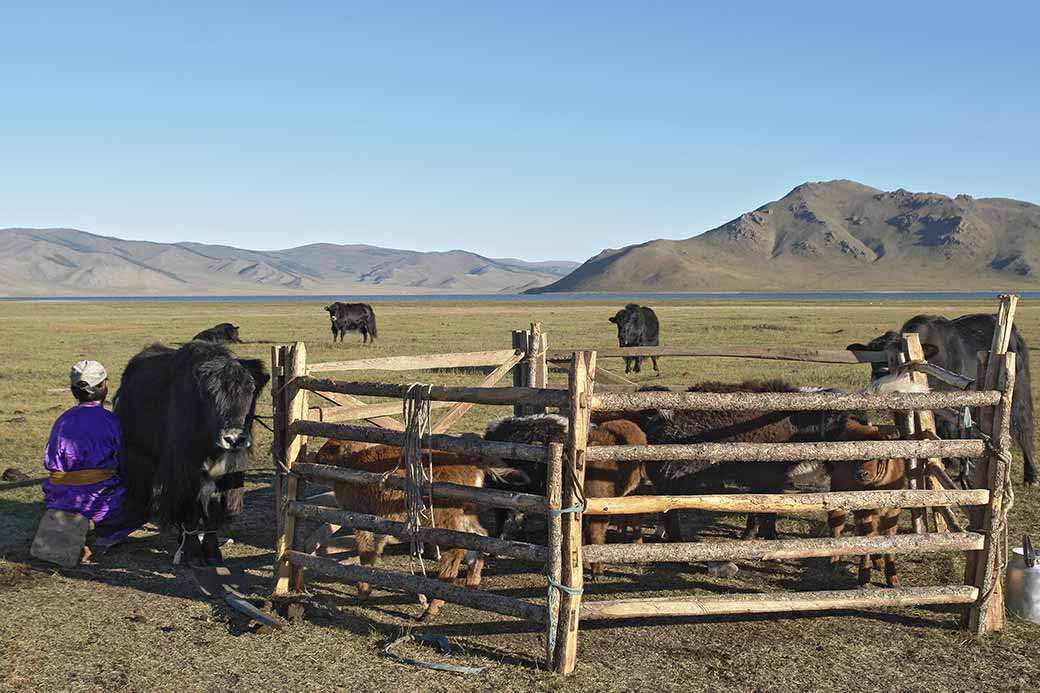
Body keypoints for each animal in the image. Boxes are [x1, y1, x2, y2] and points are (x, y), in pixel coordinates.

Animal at [114, 341, 269, 567]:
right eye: (210, 394)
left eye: (250, 390)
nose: (233, 439)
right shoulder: (185, 473)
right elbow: (191, 511)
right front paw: (194, 554)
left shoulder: (228, 473)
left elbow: (213, 510)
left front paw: (213, 554)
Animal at [847, 313, 1035, 486]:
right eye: (871, 356)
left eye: (897, 356)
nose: (880, 374)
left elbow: (951, 434)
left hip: (1019, 394)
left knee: (1023, 427)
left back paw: (1030, 475)